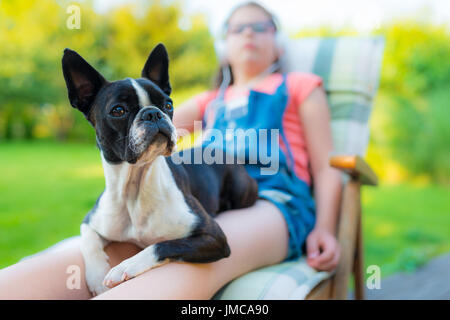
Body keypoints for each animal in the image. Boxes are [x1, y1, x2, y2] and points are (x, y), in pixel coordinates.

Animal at [60, 43, 256, 296]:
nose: (153, 113)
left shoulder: (214, 237)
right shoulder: (91, 221)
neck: (135, 187)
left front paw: (124, 267)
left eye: (168, 104)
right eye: (118, 110)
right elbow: (89, 241)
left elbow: (161, 245)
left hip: (241, 192)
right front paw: (95, 276)